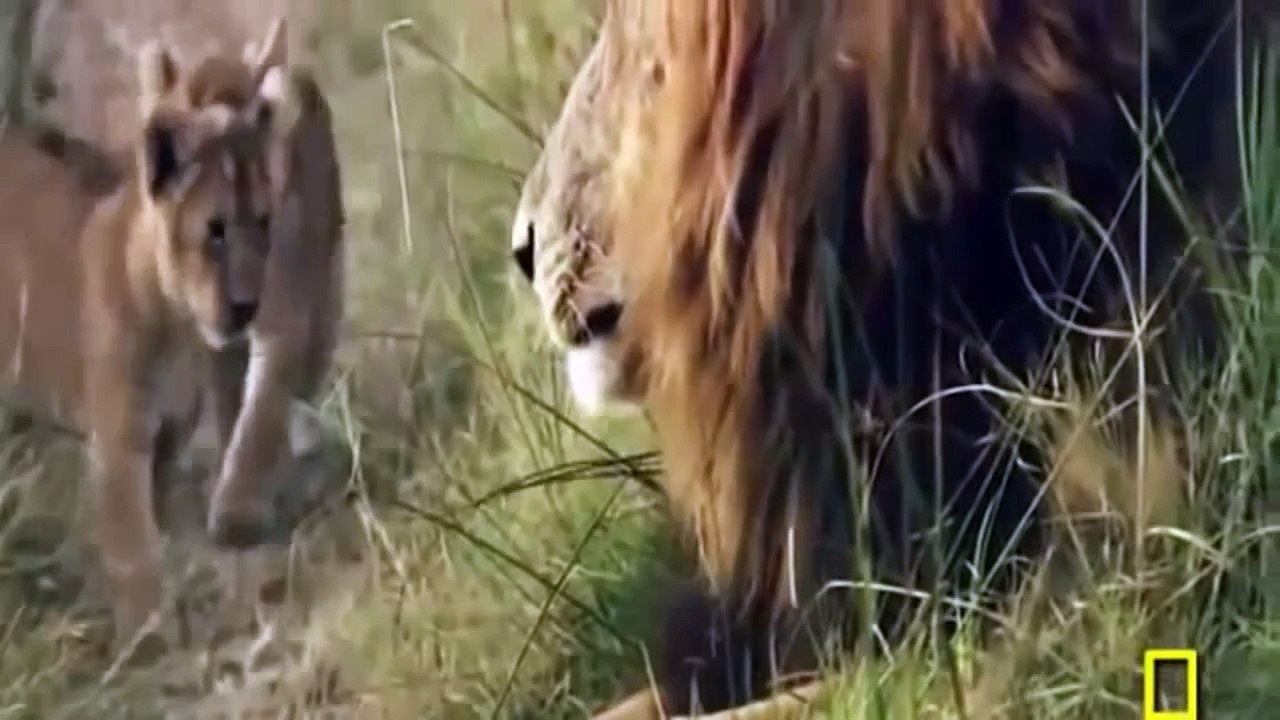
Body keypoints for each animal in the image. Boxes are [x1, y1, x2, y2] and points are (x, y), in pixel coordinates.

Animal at [0, 24, 300, 650]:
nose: (246, 307)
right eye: (214, 232)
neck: (174, 321)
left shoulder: (167, 437)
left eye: (262, 222)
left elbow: (153, 525)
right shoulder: (120, 440)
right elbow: (132, 547)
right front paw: (149, 634)